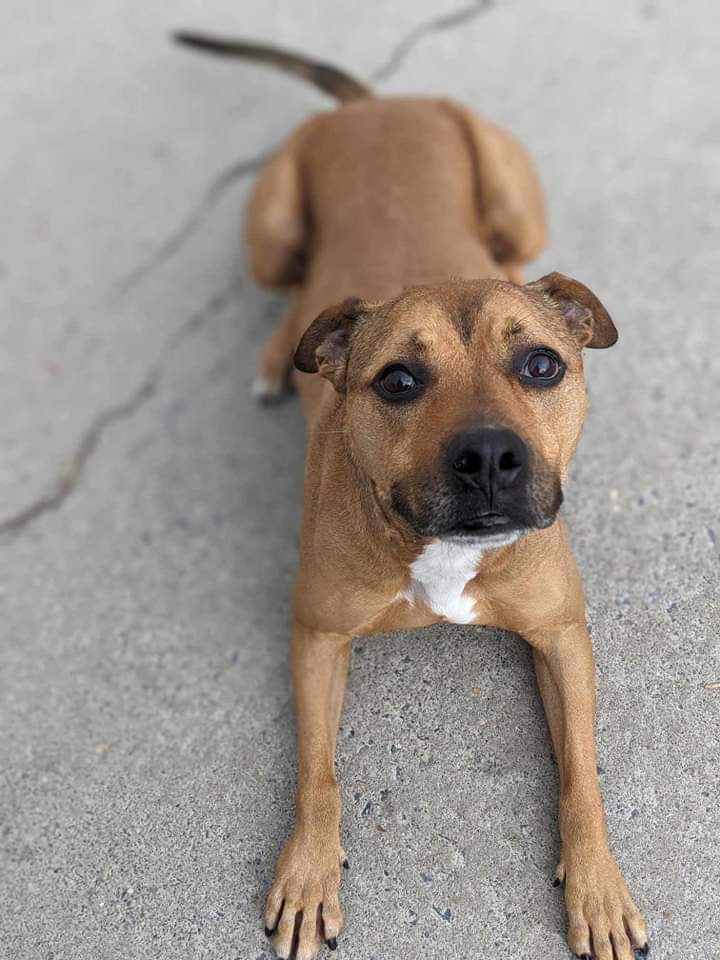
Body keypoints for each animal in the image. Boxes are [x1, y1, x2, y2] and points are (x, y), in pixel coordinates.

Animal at [176, 33, 652, 960]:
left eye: (542, 364)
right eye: (398, 380)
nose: (490, 456)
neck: (436, 551)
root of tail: (375, 106)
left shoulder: (561, 638)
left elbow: (582, 773)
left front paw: (600, 887)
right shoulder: (318, 638)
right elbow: (317, 772)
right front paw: (308, 873)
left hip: (514, 201)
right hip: (272, 232)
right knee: (289, 295)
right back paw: (274, 360)